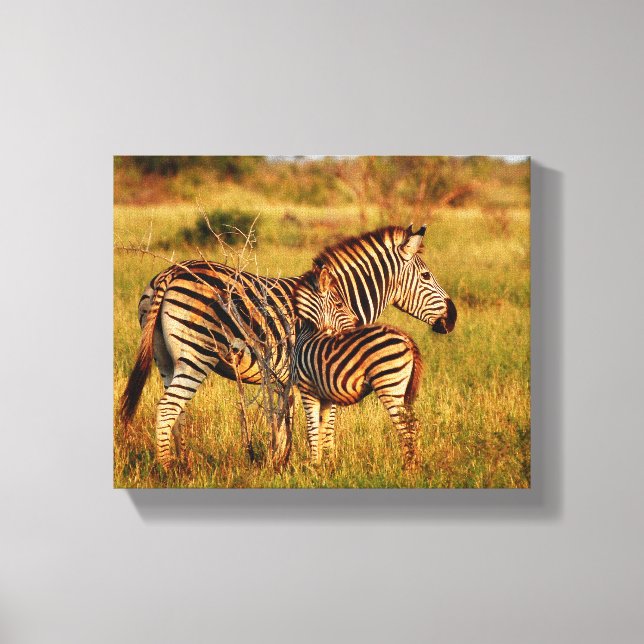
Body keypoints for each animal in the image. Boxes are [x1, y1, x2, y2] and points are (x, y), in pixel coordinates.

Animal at [293, 263, 423, 468]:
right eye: (339, 304)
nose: (356, 324)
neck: (309, 332)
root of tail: (406, 338)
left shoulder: (307, 388)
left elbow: (312, 429)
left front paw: (313, 465)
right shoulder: (325, 395)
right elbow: (324, 428)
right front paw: (325, 464)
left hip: (389, 384)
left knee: (406, 426)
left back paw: (408, 467)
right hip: (402, 388)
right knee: (414, 424)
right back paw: (415, 463)